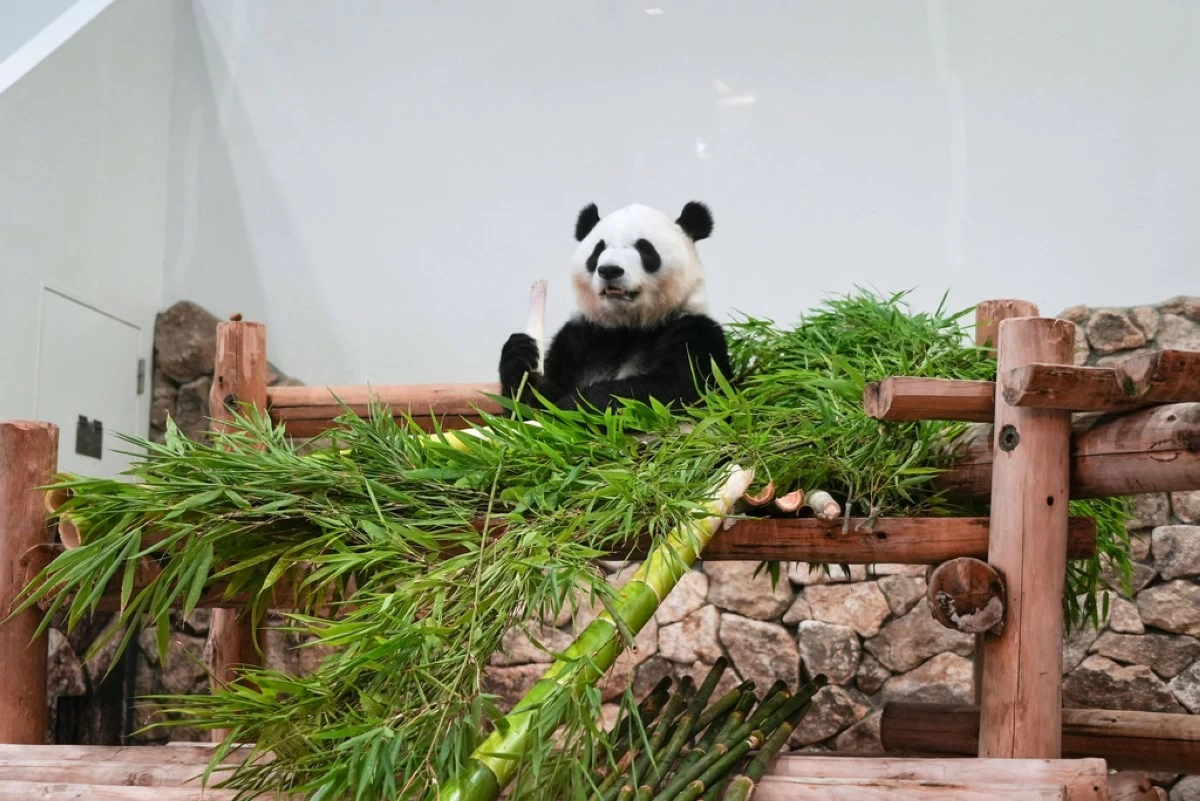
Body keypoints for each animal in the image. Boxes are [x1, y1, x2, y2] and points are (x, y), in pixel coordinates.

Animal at [499, 201, 732, 412]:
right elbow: (533, 402)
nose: (610, 270)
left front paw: (574, 406)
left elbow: (678, 387)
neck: (627, 327)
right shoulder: (578, 339)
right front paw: (520, 354)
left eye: (645, 248)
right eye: (598, 250)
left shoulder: (694, 331)